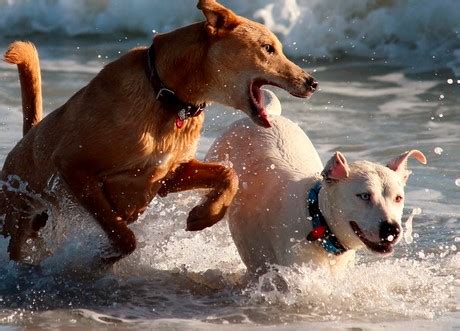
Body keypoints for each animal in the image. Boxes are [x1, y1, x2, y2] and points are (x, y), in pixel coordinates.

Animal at [0, 0, 316, 264]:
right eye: (268, 48)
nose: (312, 82)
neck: (167, 95)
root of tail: (26, 138)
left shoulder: (168, 174)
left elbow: (229, 174)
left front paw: (205, 215)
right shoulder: (73, 165)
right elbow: (122, 232)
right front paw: (105, 255)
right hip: (15, 214)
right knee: (15, 243)